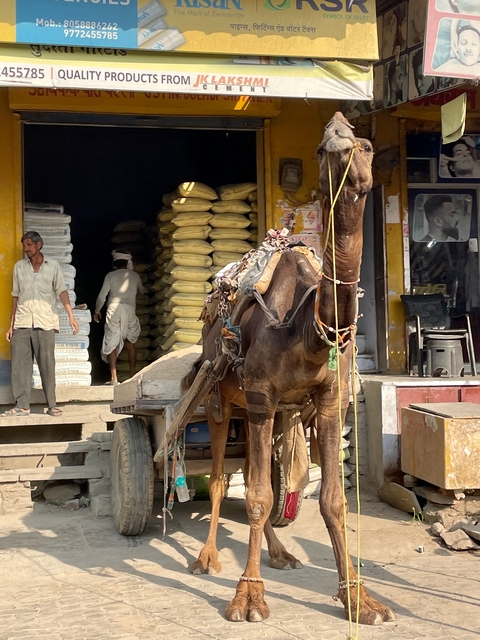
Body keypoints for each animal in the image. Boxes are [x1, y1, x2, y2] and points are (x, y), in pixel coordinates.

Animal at [182, 112, 395, 625]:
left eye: (365, 146)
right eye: (320, 149)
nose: (339, 145)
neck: (310, 333)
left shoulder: (328, 401)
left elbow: (332, 500)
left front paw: (360, 599)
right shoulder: (260, 395)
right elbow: (257, 496)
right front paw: (247, 597)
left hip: (273, 412)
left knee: (261, 475)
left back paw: (280, 554)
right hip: (222, 401)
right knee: (220, 479)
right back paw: (207, 558)